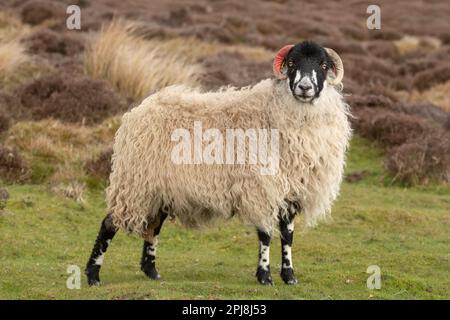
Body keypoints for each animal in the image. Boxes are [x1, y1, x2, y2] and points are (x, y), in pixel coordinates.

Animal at [84, 40, 352, 284]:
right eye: (293, 62)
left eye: (323, 65)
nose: (304, 87)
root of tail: (136, 113)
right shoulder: (261, 189)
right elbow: (265, 234)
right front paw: (264, 276)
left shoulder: (291, 191)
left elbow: (287, 236)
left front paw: (289, 276)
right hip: (135, 183)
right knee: (109, 224)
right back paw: (93, 275)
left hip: (158, 189)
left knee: (153, 227)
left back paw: (151, 271)